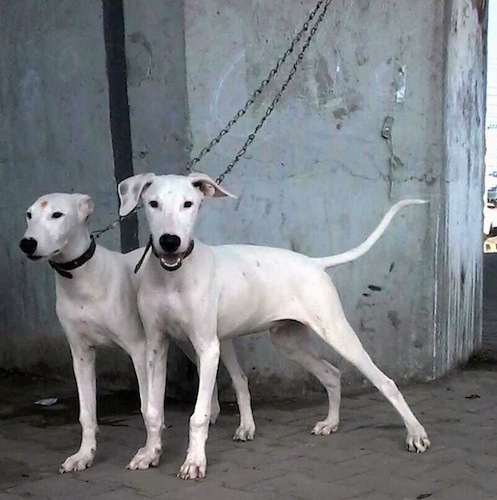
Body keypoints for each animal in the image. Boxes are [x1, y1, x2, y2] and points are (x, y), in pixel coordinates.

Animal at [116, 173, 430, 480]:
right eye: (153, 204)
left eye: (188, 204)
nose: (170, 241)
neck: (172, 277)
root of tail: (315, 264)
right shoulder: (156, 347)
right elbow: (152, 410)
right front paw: (150, 453)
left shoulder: (207, 346)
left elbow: (199, 415)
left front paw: (194, 461)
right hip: (288, 342)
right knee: (332, 373)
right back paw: (330, 423)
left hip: (336, 332)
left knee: (385, 382)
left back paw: (415, 433)